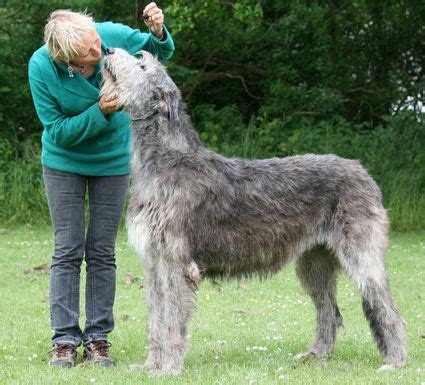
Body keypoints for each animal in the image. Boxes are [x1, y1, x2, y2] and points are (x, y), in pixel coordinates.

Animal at [101, 48, 406, 376]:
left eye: (141, 64)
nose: (108, 50)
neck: (165, 161)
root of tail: (364, 173)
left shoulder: (175, 263)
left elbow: (171, 321)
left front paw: (168, 369)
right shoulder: (153, 262)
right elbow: (155, 319)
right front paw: (150, 365)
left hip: (361, 254)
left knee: (387, 309)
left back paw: (396, 361)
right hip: (314, 262)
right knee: (329, 310)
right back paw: (316, 354)